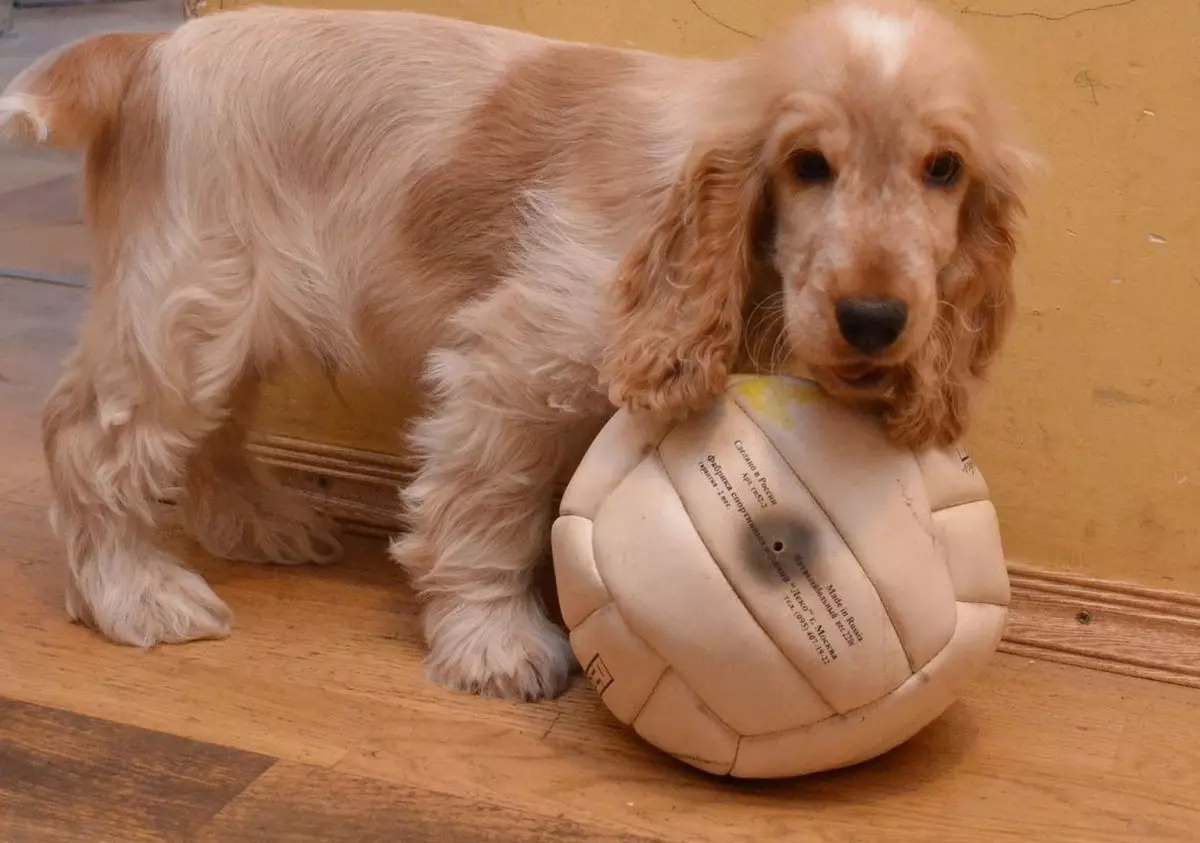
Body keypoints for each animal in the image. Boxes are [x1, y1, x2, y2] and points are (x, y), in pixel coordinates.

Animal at [0, 0, 1032, 701]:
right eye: (808, 164)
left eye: (943, 169)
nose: (875, 318)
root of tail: (152, 52)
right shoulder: (519, 362)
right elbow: (487, 507)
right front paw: (495, 644)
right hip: (186, 305)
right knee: (87, 439)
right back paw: (134, 594)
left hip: (228, 317)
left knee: (208, 431)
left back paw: (258, 522)